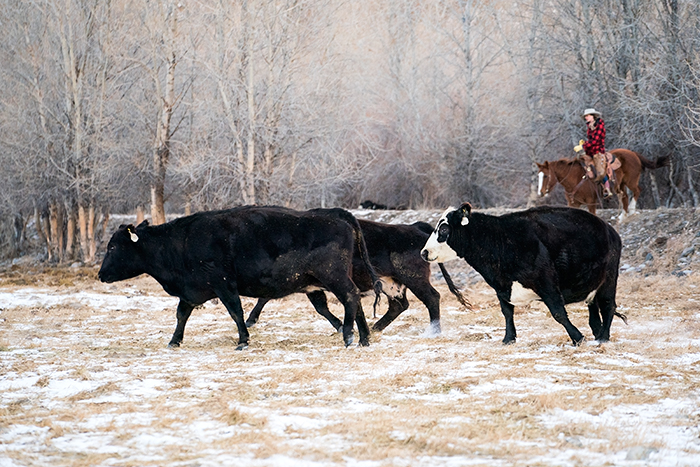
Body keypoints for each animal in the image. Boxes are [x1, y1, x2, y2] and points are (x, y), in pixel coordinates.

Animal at [96, 207, 380, 350]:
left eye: (112, 247)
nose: (100, 274)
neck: (182, 242)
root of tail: (339, 215)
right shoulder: (193, 292)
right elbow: (181, 314)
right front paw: (174, 341)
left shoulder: (223, 285)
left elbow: (236, 312)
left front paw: (243, 340)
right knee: (355, 302)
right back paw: (363, 338)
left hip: (334, 276)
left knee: (351, 297)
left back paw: (350, 336)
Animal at [246, 221, 470, 334]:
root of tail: (414, 227)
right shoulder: (314, 287)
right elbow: (321, 307)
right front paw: (339, 326)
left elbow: (264, 298)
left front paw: (250, 320)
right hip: (391, 284)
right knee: (399, 305)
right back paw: (376, 328)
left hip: (414, 279)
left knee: (432, 298)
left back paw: (434, 330)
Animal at [422, 203, 624, 346]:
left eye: (444, 229)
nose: (424, 252)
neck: (499, 240)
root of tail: (608, 228)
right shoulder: (501, 286)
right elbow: (507, 313)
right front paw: (508, 339)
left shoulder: (547, 282)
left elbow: (558, 313)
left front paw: (577, 338)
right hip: (593, 285)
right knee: (594, 311)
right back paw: (598, 335)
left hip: (609, 279)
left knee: (609, 306)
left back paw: (603, 338)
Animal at [540, 148, 668, 219]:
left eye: (545, 175)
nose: (541, 192)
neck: (575, 178)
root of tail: (633, 153)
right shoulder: (573, 203)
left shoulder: (591, 202)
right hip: (620, 185)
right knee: (625, 196)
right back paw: (622, 216)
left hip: (631, 181)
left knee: (637, 191)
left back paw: (631, 210)